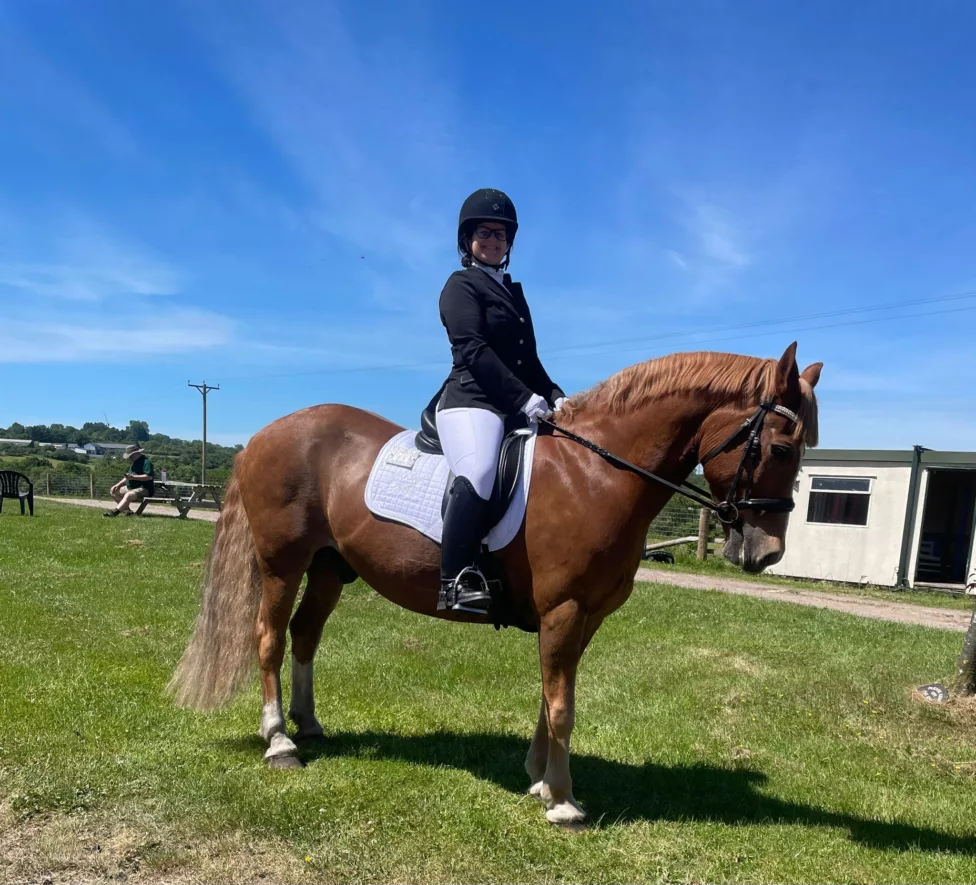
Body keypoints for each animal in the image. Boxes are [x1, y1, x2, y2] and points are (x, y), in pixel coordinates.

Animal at [167, 342, 821, 826]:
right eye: (780, 448)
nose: (765, 554)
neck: (596, 473)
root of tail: (263, 436)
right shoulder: (564, 609)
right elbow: (562, 706)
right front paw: (563, 803)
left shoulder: (582, 616)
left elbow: (550, 698)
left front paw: (539, 780)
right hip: (282, 564)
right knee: (270, 639)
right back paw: (280, 743)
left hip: (331, 567)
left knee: (305, 635)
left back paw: (310, 725)